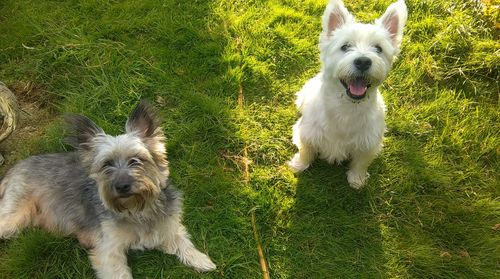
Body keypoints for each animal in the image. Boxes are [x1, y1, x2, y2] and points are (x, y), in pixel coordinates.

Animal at [0, 101, 216, 279]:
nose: (122, 186)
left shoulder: (167, 226)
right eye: (106, 165)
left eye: (136, 160)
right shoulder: (108, 251)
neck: (137, 209)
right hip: (14, 216)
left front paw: (201, 260)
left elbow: (182, 241)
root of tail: (14, 169)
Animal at [288, 0, 408, 190]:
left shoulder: (368, 144)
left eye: (378, 48)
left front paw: (357, 179)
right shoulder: (308, 133)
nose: (363, 61)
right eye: (345, 46)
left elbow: (361, 163)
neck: (346, 108)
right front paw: (299, 165)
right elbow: (306, 150)